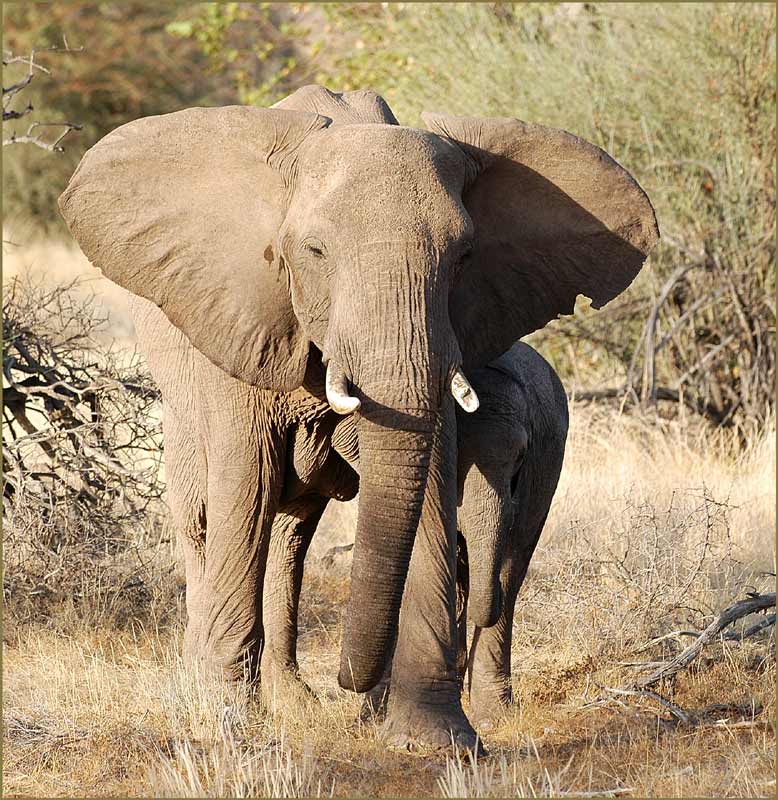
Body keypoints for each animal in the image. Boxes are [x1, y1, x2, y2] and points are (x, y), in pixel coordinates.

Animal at [57, 84, 656, 748]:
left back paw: (295, 698)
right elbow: (245, 482)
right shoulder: (239, 318)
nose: (347, 679)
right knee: (207, 516)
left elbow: (429, 485)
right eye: (314, 252)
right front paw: (226, 725)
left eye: (464, 256)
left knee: (292, 531)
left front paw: (439, 738)